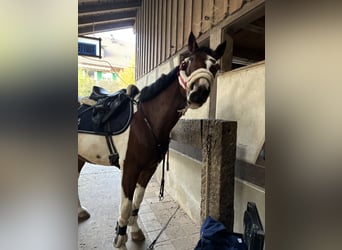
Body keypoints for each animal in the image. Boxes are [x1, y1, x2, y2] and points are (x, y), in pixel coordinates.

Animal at [78, 32, 227, 249]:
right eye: (187, 62)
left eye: (214, 67)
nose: (198, 94)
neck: (146, 120)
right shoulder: (129, 169)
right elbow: (125, 205)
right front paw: (120, 239)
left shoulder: (148, 169)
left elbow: (137, 201)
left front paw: (135, 231)